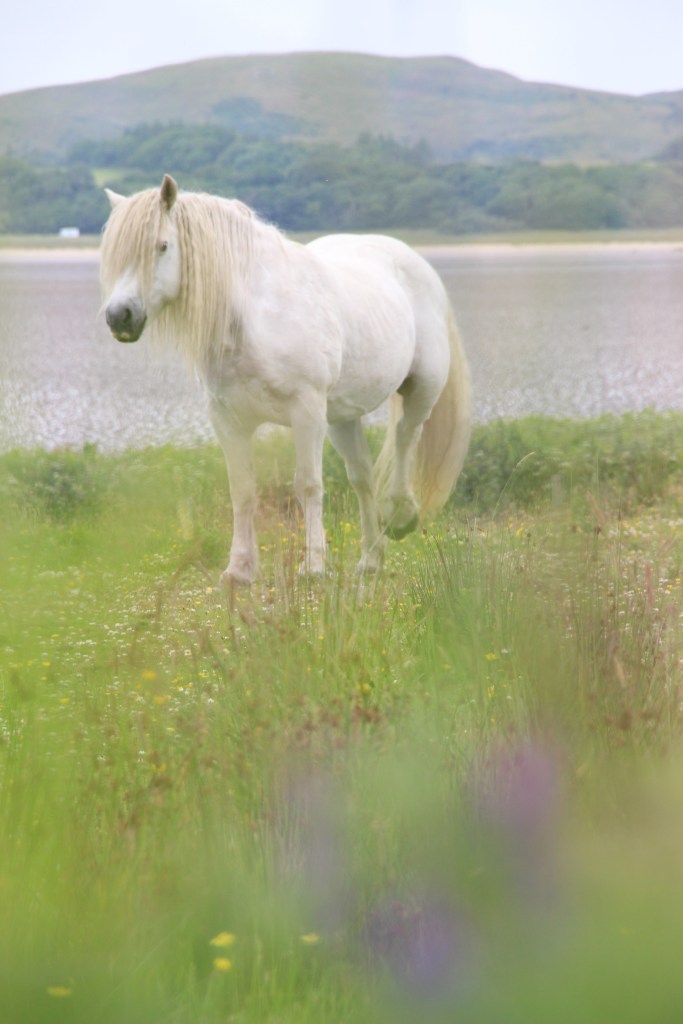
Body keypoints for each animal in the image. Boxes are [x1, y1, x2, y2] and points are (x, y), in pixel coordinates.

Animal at [100, 174, 471, 585]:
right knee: (362, 476)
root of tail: (412, 259)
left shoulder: (305, 412)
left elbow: (307, 484)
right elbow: (243, 491)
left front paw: (313, 565)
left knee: (406, 437)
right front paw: (239, 569)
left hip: (423, 387)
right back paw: (371, 559)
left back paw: (401, 514)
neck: (254, 318)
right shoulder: (228, 421)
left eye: (162, 246)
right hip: (341, 418)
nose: (119, 316)